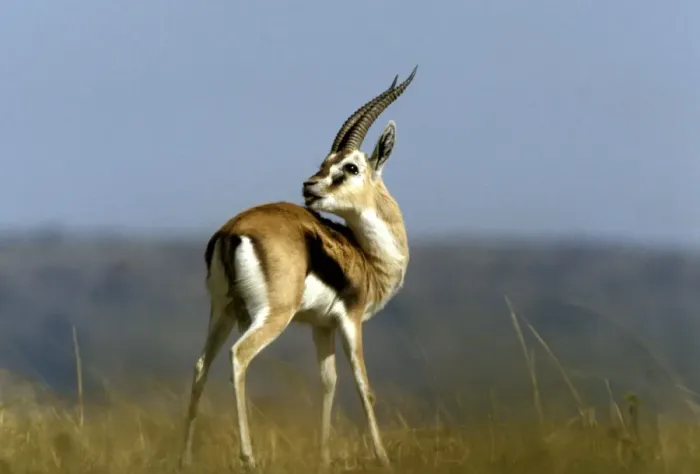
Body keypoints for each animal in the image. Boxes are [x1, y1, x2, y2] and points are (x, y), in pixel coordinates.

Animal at [180, 66, 418, 470]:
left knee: (200, 365)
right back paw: (248, 458)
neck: (366, 257)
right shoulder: (350, 319)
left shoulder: (321, 326)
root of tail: (232, 230)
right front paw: (383, 458)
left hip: (222, 311)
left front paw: (324, 458)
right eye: (330, 163)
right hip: (273, 315)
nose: (309, 186)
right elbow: (363, 386)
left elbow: (328, 382)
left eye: (349, 167)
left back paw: (184, 458)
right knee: (238, 356)